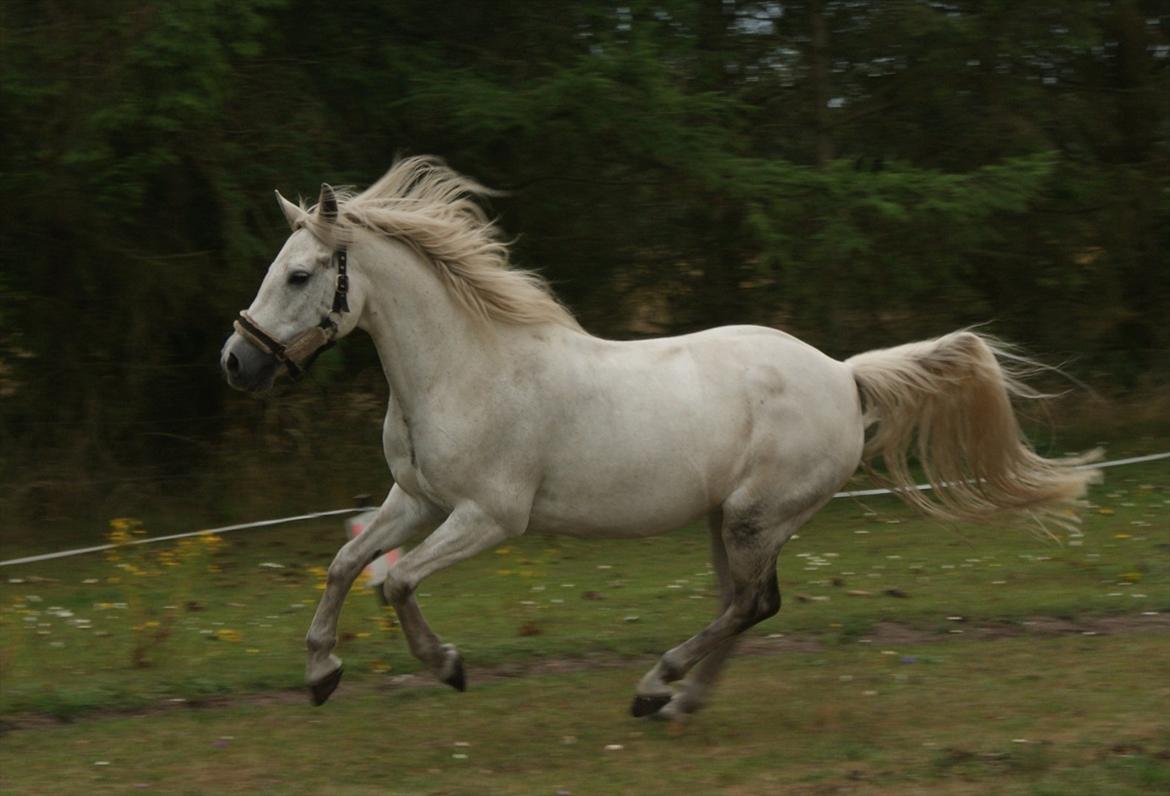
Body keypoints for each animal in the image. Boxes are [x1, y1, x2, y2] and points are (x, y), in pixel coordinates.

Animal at [219, 156, 1095, 721]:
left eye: (300, 274)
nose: (236, 362)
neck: (465, 369)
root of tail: (844, 376)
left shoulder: (488, 518)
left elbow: (396, 584)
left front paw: (449, 667)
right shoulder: (417, 500)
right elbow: (345, 568)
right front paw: (321, 674)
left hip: (754, 518)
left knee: (749, 604)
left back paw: (655, 686)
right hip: (731, 521)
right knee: (748, 605)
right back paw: (680, 699)